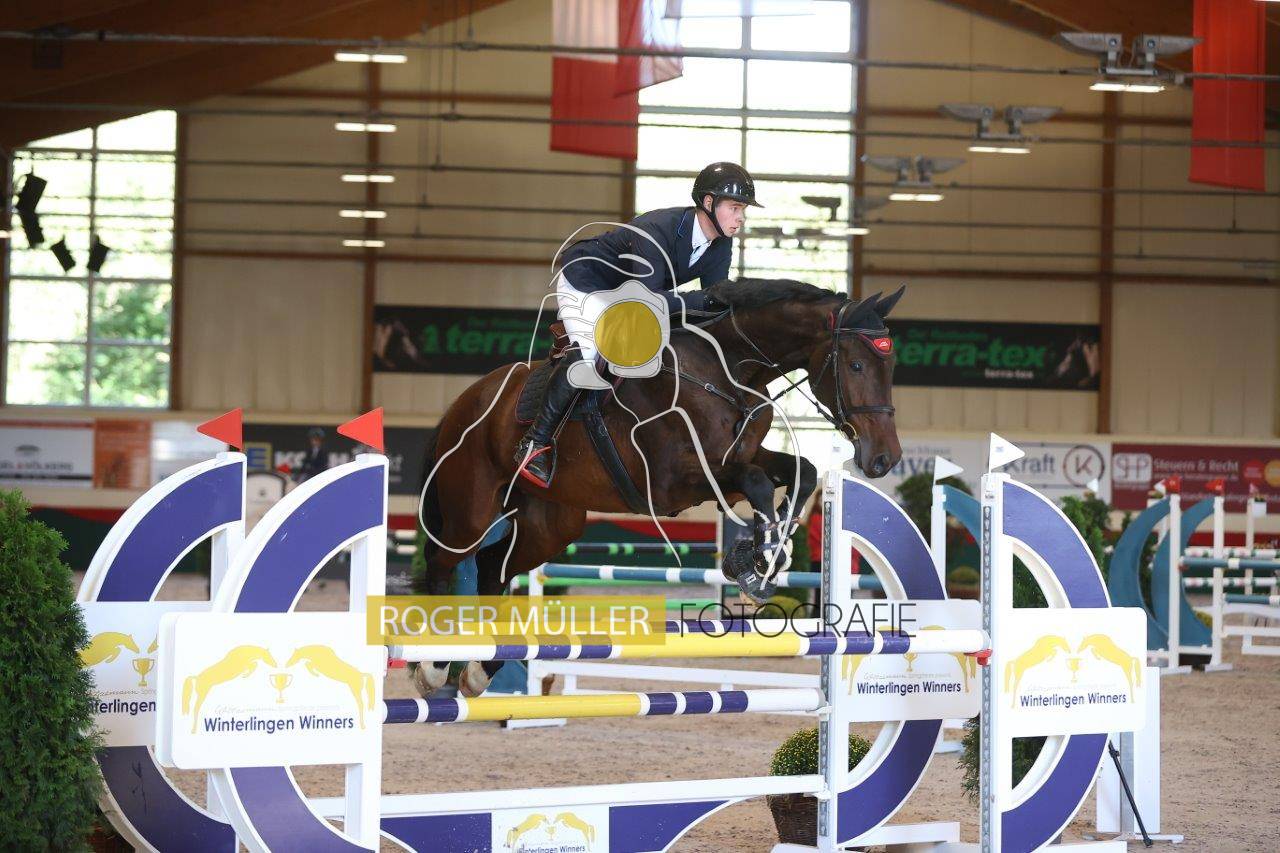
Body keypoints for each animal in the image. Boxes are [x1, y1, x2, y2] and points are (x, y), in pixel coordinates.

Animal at [414, 278, 905, 697]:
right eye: (856, 365)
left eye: (892, 366)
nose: (884, 459)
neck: (725, 373)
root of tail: (465, 400)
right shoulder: (672, 482)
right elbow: (757, 482)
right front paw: (754, 567)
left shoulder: (737, 460)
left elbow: (800, 471)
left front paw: (760, 558)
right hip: (471, 510)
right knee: (445, 560)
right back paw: (432, 666)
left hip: (550, 524)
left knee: (494, 568)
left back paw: (480, 670)